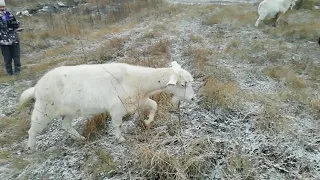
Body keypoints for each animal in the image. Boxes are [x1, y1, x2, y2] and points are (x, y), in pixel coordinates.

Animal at [20, 61, 196, 150]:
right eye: (182, 84)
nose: (193, 98)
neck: (136, 80)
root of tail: (36, 87)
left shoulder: (138, 100)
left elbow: (154, 105)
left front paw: (147, 121)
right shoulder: (117, 108)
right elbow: (117, 124)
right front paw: (120, 138)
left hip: (68, 111)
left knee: (66, 125)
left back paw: (80, 138)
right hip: (44, 109)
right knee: (32, 129)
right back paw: (31, 147)